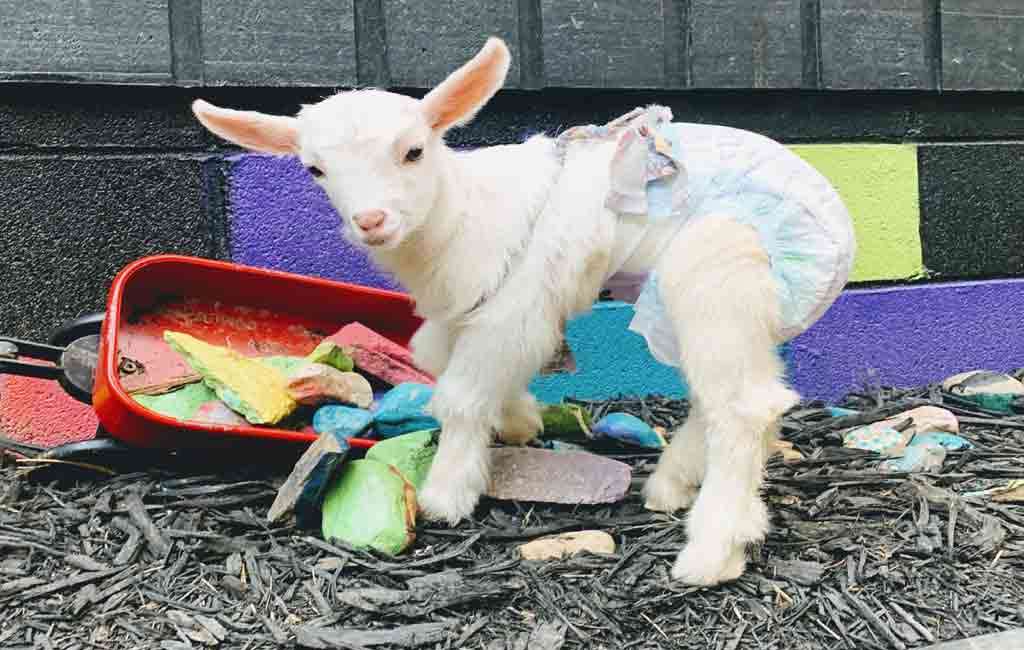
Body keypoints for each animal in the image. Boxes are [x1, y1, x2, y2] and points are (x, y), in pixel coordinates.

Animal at [191, 37, 855, 586]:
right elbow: (440, 357)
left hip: (715, 275)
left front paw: (447, 494)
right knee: (737, 398)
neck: (458, 216)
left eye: (413, 151)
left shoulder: (514, 308)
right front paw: (518, 421)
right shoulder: (465, 311)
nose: (372, 221)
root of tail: (842, 235)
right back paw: (672, 485)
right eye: (315, 169)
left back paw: (712, 552)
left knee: (743, 407)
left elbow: (461, 394)